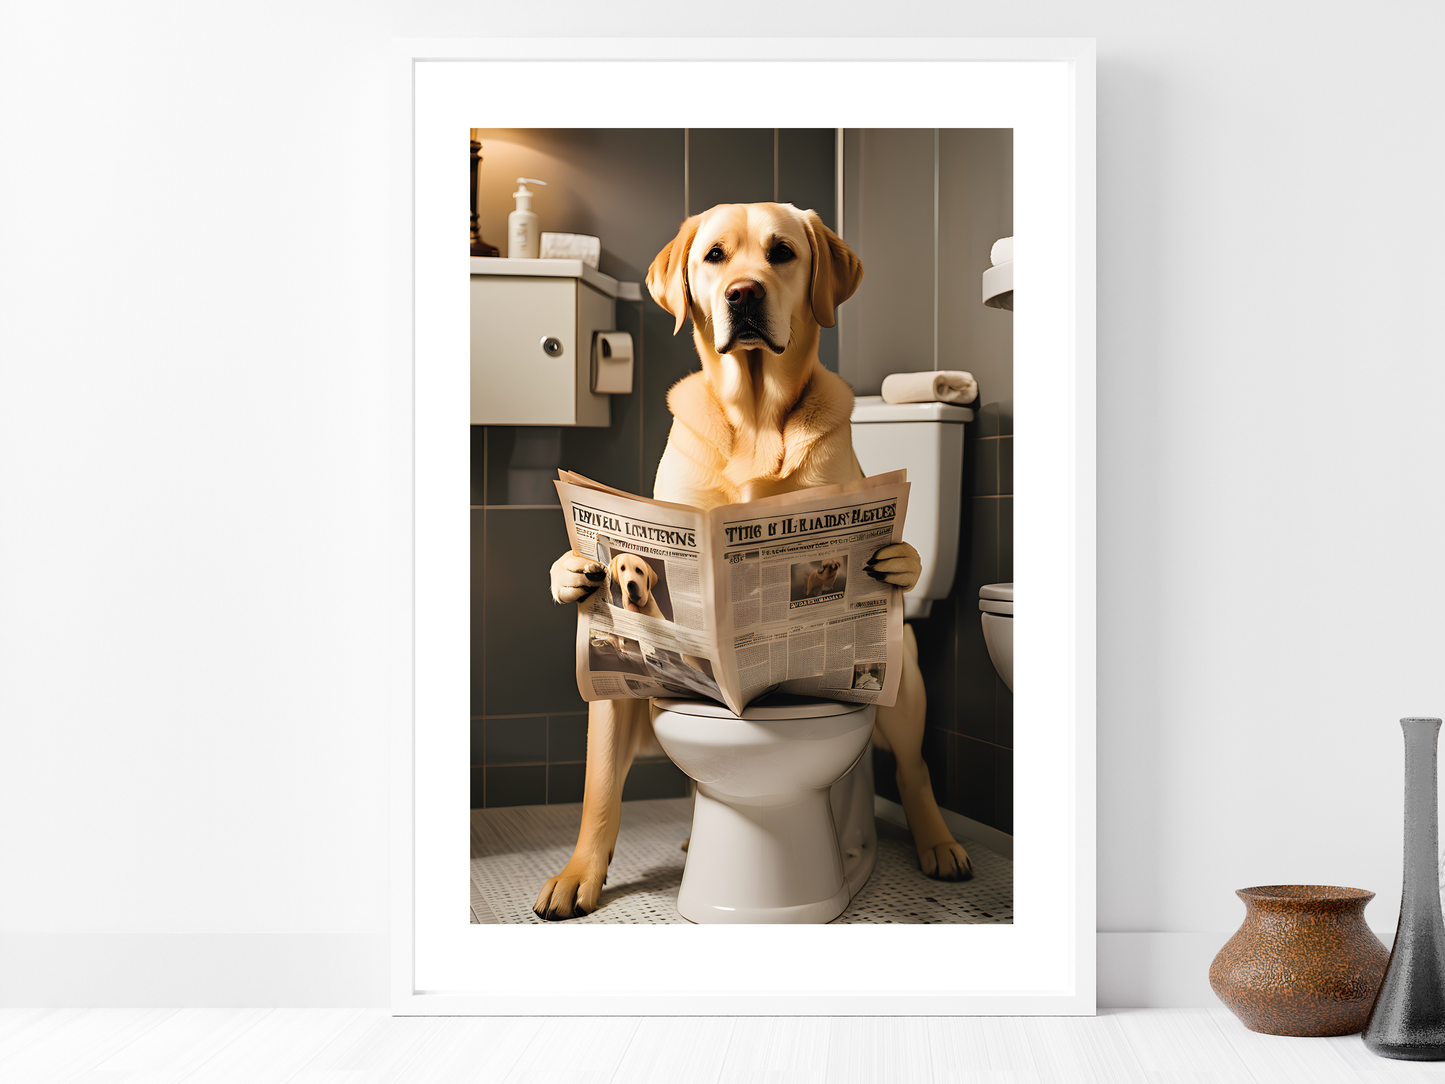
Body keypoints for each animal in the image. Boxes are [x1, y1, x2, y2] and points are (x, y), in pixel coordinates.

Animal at [540, 199, 971, 919]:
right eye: (715, 256)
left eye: (781, 252)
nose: (742, 294)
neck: (754, 418)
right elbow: (599, 790)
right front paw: (578, 877)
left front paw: (897, 560)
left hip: (901, 671)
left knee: (913, 770)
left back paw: (938, 843)